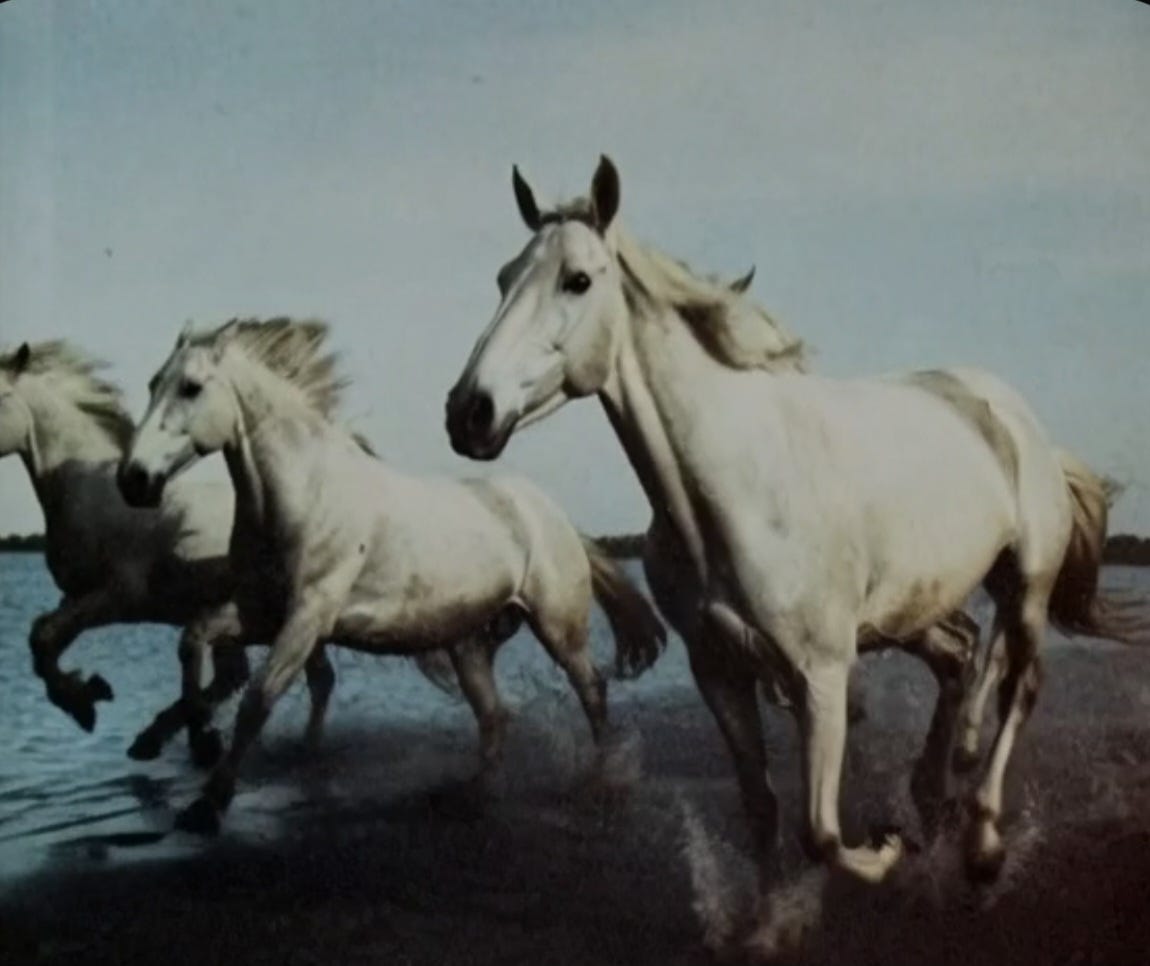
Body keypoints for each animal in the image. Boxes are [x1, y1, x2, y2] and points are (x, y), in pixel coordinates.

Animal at [117, 317, 666, 833]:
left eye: (191, 387)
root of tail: (553, 514)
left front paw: (207, 805)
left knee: (591, 689)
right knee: (494, 716)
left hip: (558, 627)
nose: (133, 479)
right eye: (153, 383)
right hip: (469, 645)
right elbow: (193, 639)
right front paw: (186, 739)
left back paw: (603, 777)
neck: (305, 492)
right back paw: (467, 793)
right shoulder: (262, 612)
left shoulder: (307, 618)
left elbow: (258, 699)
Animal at [444, 156, 1141, 907]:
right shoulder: (718, 670)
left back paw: (980, 843)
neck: (733, 490)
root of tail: (1017, 418)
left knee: (1019, 683)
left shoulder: (822, 673)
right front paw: (773, 912)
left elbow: (822, 831)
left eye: (577, 279)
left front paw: (885, 850)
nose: (469, 412)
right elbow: (762, 809)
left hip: (1025, 585)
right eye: (504, 278)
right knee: (960, 656)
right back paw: (933, 800)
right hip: (913, 609)